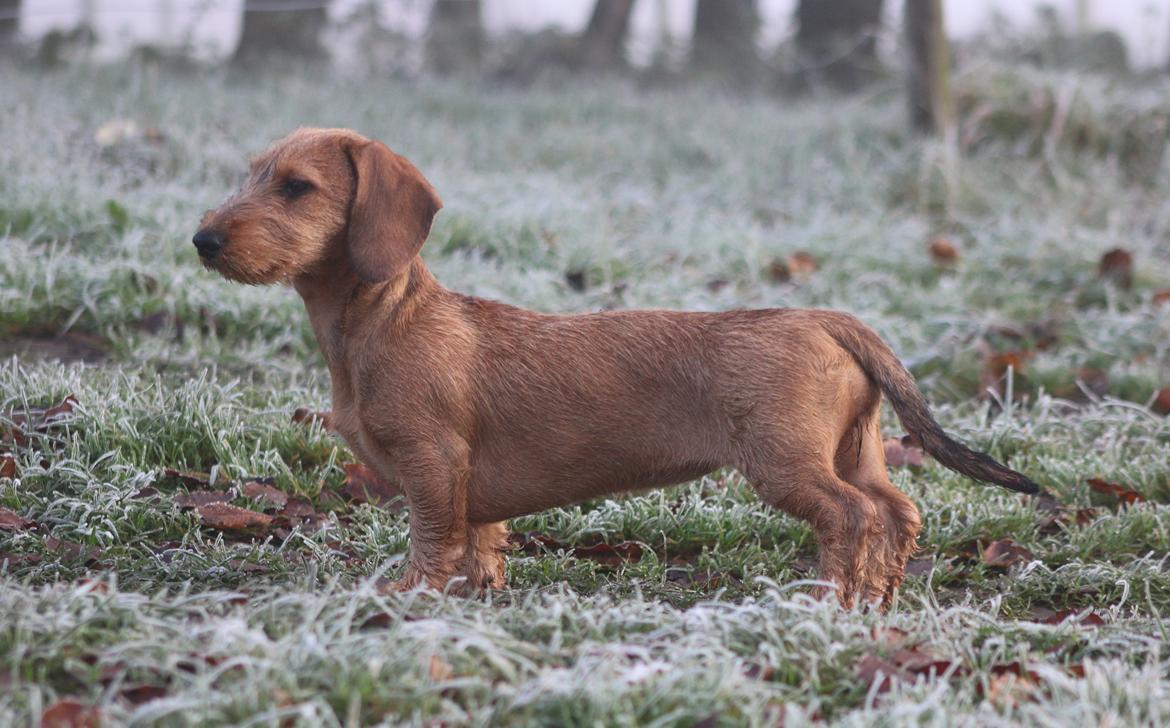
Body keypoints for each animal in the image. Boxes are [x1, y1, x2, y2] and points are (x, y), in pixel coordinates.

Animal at [194, 128, 1043, 608]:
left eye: (297, 187)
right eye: (249, 175)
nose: (203, 240)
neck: (384, 320)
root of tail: (829, 318)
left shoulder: (432, 466)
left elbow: (432, 539)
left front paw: (411, 598)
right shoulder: (471, 490)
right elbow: (479, 544)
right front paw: (476, 595)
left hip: (788, 464)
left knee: (852, 517)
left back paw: (829, 598)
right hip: (857, 451)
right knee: (898, 512)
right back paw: (879, 598)